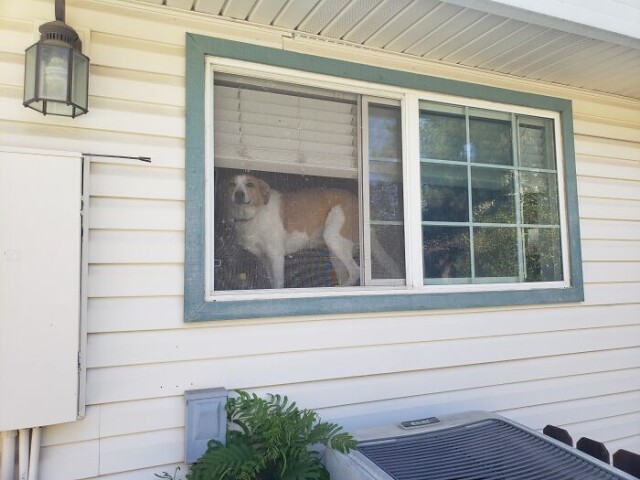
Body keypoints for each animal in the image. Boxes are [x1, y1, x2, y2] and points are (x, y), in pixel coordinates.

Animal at [220, 175, 360, 290]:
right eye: (231, 184)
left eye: (250, 184)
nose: (238, 194)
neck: (255, 214)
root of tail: (355, 197)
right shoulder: (265, 259)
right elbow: (273, 283)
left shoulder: (276, 255)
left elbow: (278, 284)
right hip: (335, 252)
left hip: (333, 237)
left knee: (355, 271)